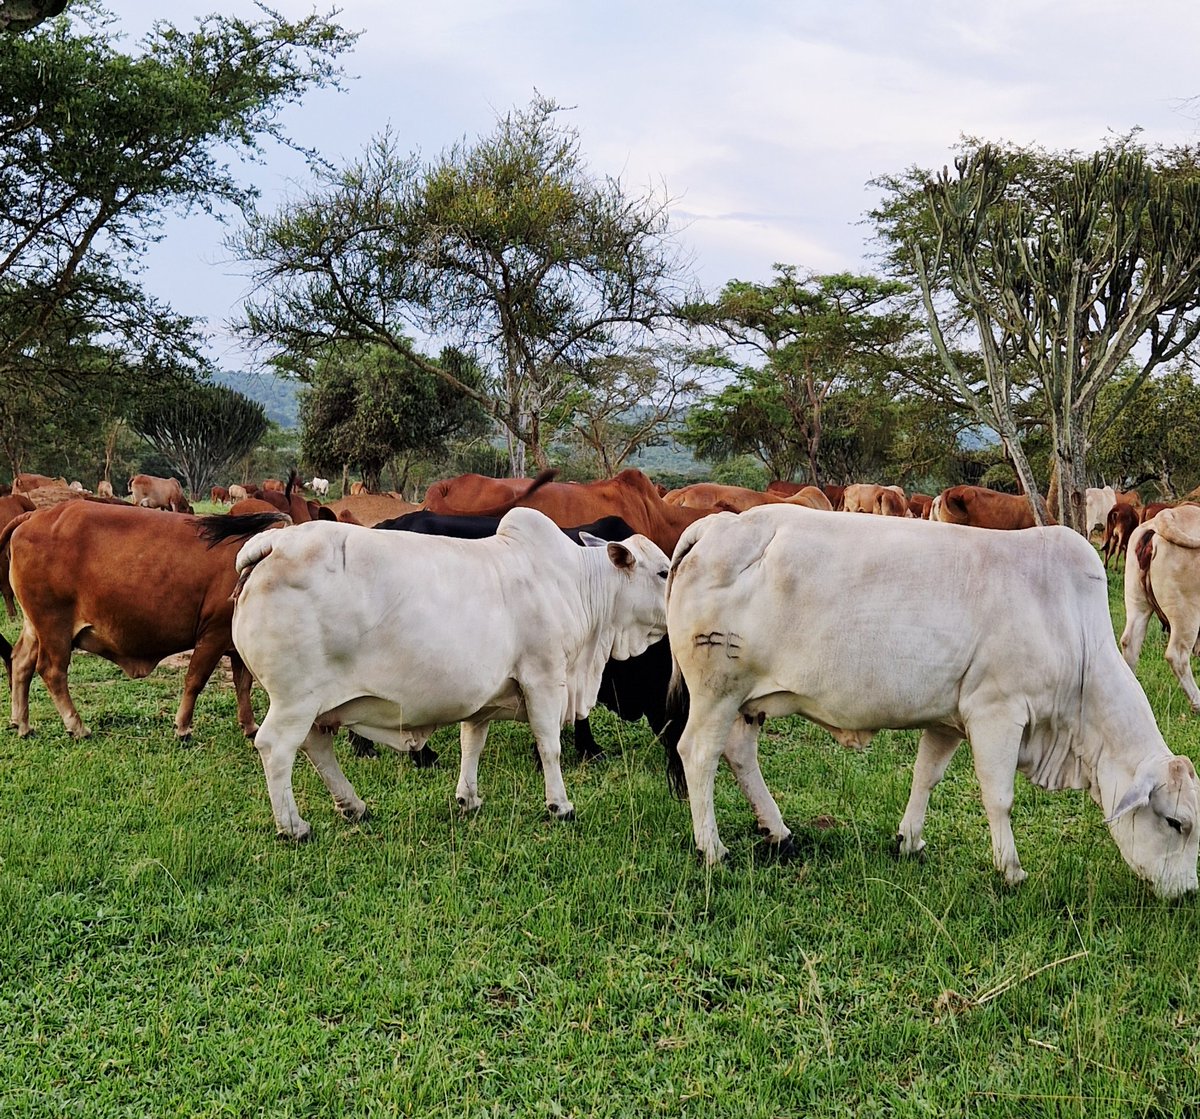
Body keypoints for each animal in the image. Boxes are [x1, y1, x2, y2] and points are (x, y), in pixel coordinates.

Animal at [1, 503, 285, 740]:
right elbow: (195, 680)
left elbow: (243, 684)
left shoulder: (236, 646)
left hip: (36, 626)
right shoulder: (213, 634)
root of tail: (36, 514)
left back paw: (22, 724)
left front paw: (249, 726)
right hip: (54, 626)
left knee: (21, 663)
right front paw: (182, 727)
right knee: (52, 671)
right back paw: (77, 727)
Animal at [229, 508, 671, 840]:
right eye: (664, 572)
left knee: (317, 746)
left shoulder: (486, 696)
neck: (576, 584)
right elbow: (550, 747)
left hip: (317, 704)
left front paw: (468, 798)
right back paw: (294, 826)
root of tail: (276, 543)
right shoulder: (544, 677)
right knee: (276, 748)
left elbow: (471, 742)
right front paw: (559, 805)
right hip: (295, 699)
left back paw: (354, 806)